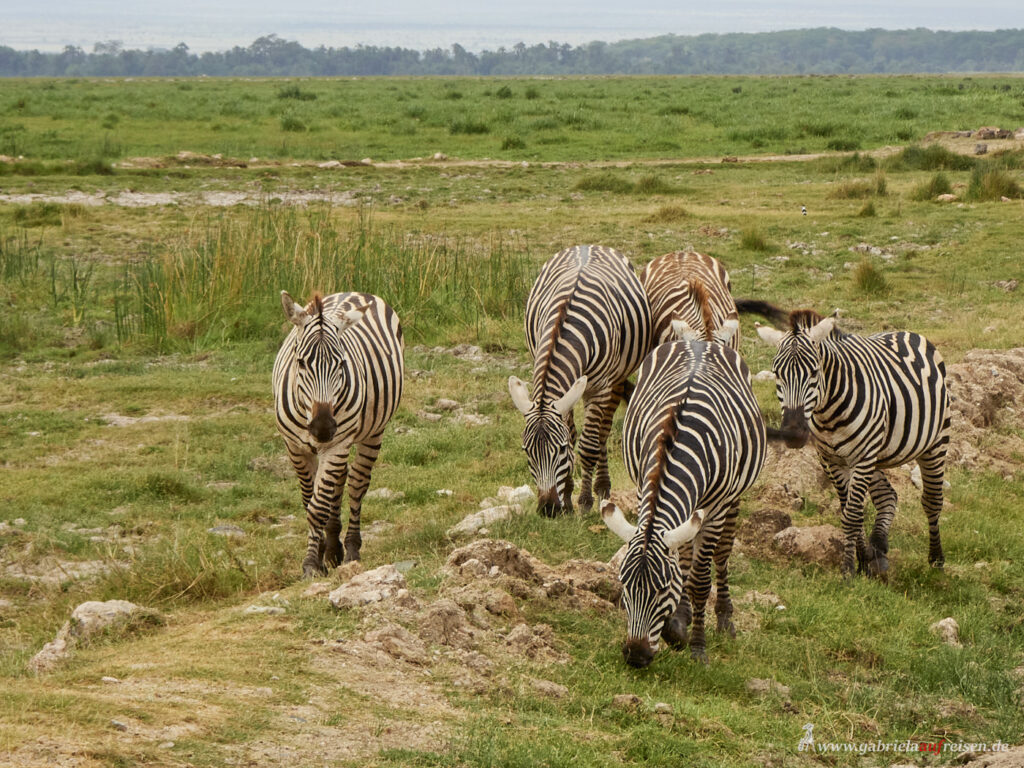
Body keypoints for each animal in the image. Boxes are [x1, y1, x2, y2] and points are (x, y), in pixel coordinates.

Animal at [273, 290, 404, 577]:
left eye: (341, 364)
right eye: (300, 363)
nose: (323, 428)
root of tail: (356, 292)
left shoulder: (338, 443)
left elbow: (317, 507)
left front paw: (311, 563)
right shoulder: (294, 447)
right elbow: (308, 501)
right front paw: (319, 554)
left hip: (372, 432)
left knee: (356, 484)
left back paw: (351, 548)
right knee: (340, 480)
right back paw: (333, 547)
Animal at [508, 245, 652, 515]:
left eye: (561, 449)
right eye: (526, 451)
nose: (548, 509)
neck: (564, 325)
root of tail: (588, 246)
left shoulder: (601, 387)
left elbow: (587, 446)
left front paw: (584, 500)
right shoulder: (565, 393)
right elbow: (574, 435)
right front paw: (566, 496)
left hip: (614, 379)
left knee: (601, 434)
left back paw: (602, 486)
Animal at [602, 339, 766, 667]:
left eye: (662, 589)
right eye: (624, 585)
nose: (635, 656)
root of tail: (702, 342)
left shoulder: (714, 510)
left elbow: (700, 582)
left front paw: (697, 648)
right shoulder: (644, 489)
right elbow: (682, 564)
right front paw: (676, 627)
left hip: (733, 498)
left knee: (722, 554)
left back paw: (724, 619)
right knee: (688, 552)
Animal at [755, 309, 950, 580]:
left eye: (814, 372)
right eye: (776, 373)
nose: (793, 435)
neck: (827, 414)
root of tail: (904, 332)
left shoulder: (862, 457)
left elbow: (852, 515)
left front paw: (848, 570)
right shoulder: (831, 461)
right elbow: (848, 510)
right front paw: (863, 558)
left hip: (935, 442)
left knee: (932, 500)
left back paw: (936, 560)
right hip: (877, 452)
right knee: (888, 495)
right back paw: (878, 547)